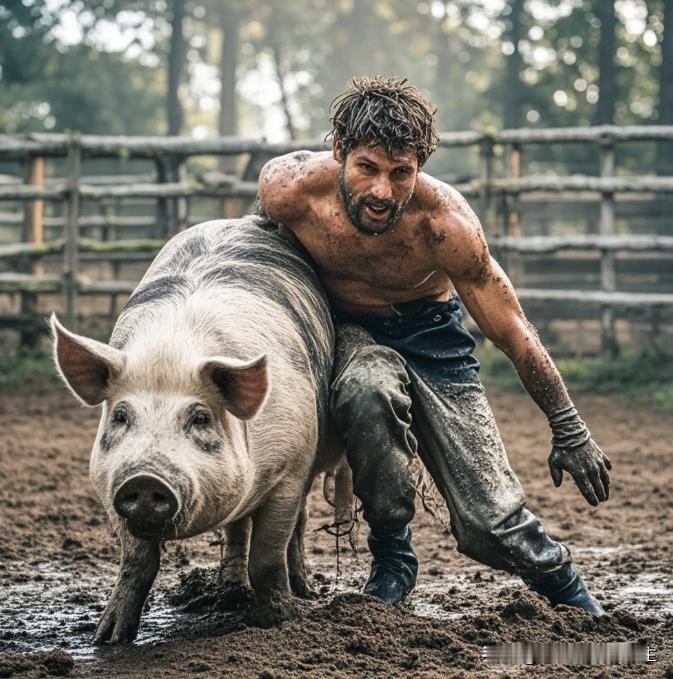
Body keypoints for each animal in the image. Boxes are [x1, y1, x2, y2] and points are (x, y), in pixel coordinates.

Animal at [51, 216, 334, 644]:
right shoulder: (109, 483)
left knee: (296, 526)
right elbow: (137, 560)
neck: (173, 350)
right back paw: (229, 591)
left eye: (199, 418)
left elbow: (268, 554)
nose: (145, 479)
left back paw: (305, 591)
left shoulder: (290, 468)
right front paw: (108, 637)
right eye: (120, 416)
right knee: (236, 529)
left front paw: (278, 622)